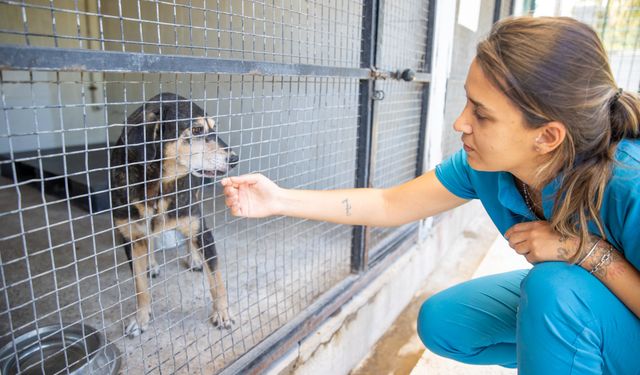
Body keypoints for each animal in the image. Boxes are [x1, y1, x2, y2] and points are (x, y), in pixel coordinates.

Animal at [110, 93, 238, 338]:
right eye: (196, 130)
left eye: (214, 128)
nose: (235, 159)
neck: (157, 187)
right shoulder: (129, 238)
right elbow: (140, 286)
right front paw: (141, 318)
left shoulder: (202, 231)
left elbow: (217, 281)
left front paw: (222, 313)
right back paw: (151, 263)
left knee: (189, 237)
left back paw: (194, 258)